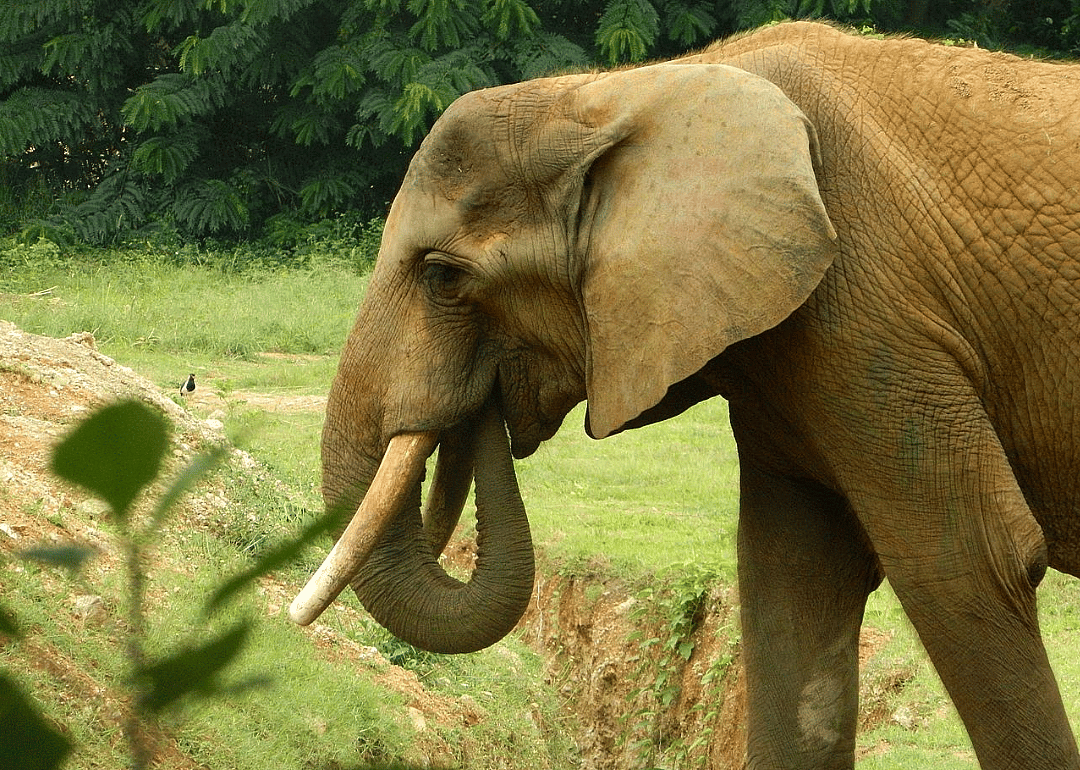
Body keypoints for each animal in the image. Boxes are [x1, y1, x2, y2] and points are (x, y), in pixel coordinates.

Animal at [288, 20, 1080, 770]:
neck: (624, 93)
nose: (478, 404)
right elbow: (793, 585)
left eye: (443, 277)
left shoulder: (874, 313)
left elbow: (968, 564)